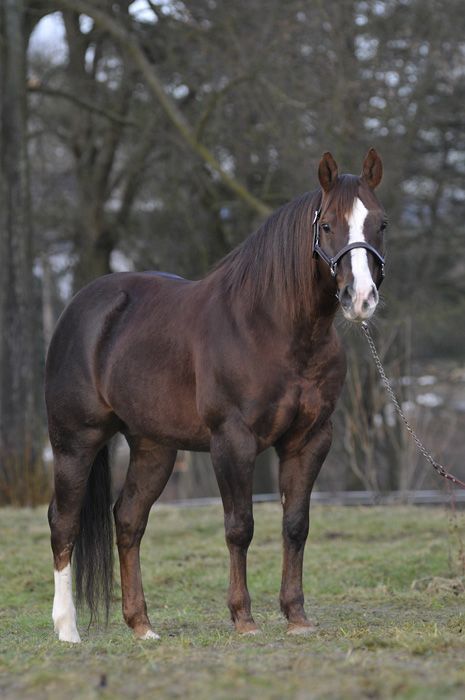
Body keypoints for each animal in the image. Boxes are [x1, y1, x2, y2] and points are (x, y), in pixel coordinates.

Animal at [47, 150, 386, 644]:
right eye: (327, 226)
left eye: (379, 223)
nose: (360, 298)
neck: (273, 328)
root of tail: (78, 307)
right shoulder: (233, 441)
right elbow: (239, 527)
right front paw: (243, 618)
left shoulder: (309, 440)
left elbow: (295, 525)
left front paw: (296, 616)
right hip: (75, 442)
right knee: (64, 522)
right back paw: (68, 630)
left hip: (153, 448)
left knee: (128, 520)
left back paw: (142, 626)